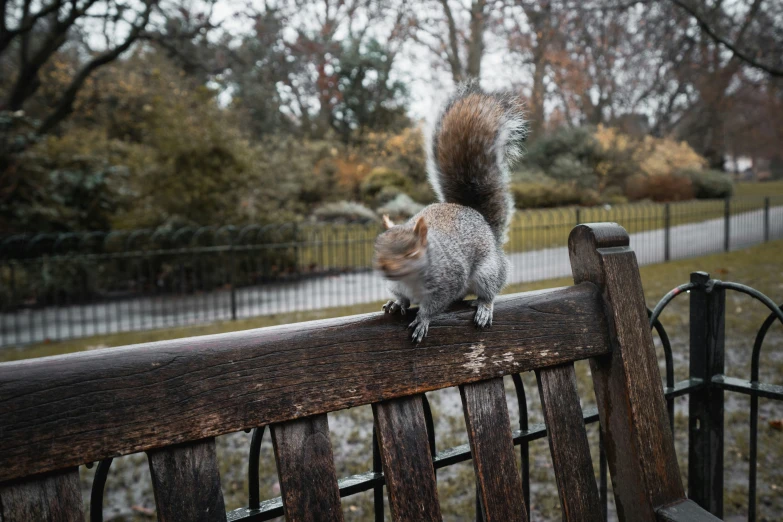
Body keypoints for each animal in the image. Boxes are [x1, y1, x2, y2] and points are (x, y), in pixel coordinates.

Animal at [374, 81, 528, 342]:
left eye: (411, 253)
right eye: (378, 249)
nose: (387, 269)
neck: (410, 280)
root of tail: (479, 217)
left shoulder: (448, 282)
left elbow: (435, 305)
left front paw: (423, 320)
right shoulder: (397, 285)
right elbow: (401, 296)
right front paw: (397, 303)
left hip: (488, 271)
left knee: (490, 290)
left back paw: (484, 306)